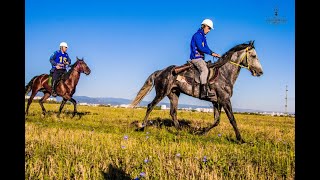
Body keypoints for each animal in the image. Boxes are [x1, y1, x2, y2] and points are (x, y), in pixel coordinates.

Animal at [129, 40, 264, 143]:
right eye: (253, 56)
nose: (260, 72)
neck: (224, 73)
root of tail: (160, 71)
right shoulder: (225, 100)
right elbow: (232, 119)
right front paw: (240, 139)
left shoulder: (217, 102)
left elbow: (216, 121)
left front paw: (200, 133)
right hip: (161, 92)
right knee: (150, 106)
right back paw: (142, 127)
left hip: (174, 94)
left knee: (173, 113)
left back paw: (180, 131)